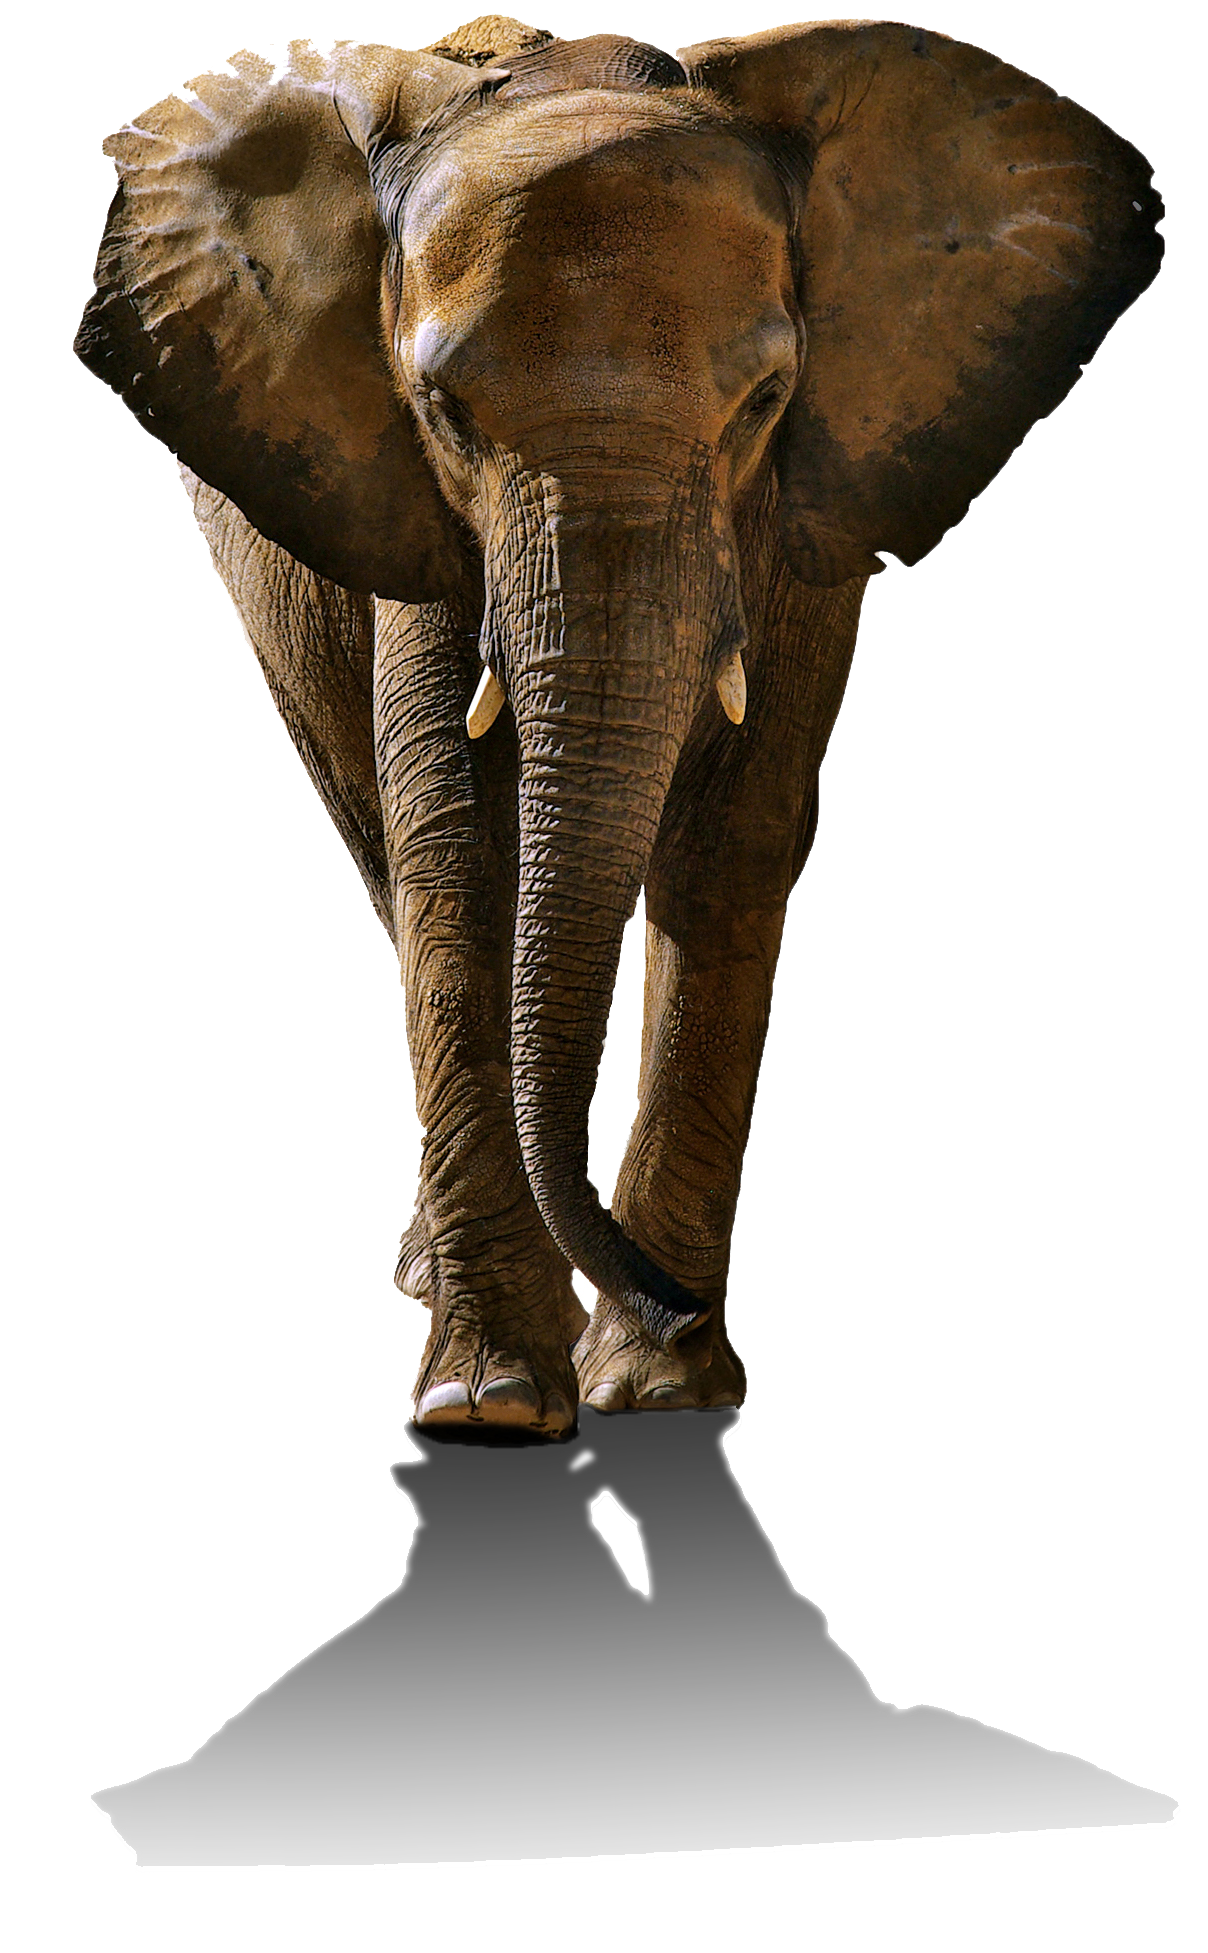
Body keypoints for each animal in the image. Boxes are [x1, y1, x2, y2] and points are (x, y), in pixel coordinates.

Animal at [76, 16, 1161, 1435]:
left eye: (764, 400)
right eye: (442, 412)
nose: (662, 1297)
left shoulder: (804, 517)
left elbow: (735, 838)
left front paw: (657, 1390)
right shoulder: (420, 519)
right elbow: (456, 843)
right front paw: (486, 1401)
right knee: (376, 842)